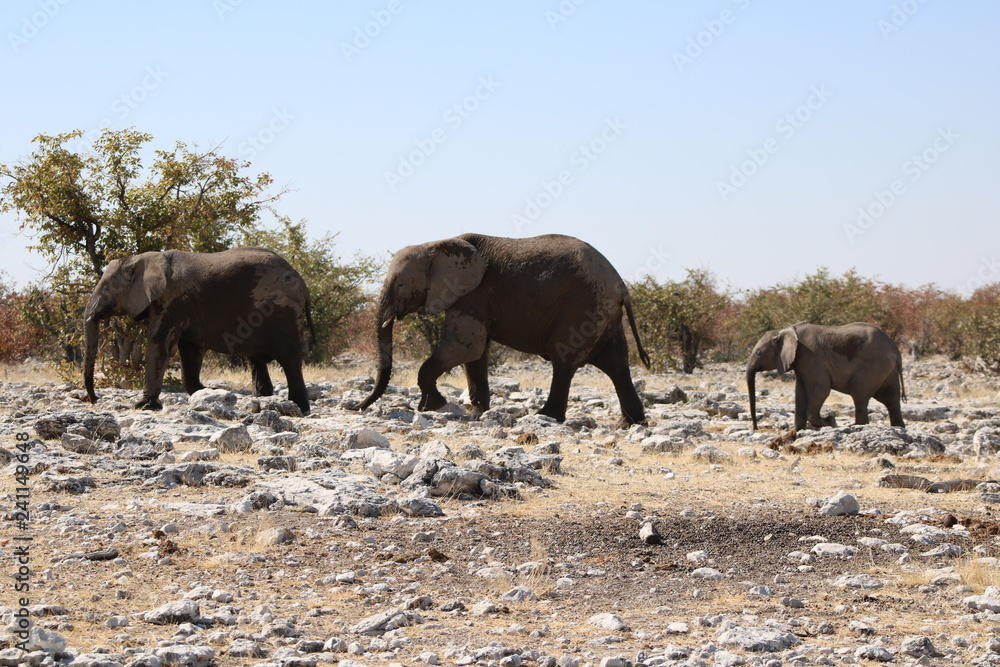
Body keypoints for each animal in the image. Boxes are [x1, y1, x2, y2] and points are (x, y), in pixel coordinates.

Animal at [84, 248, 314, 414]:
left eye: (106, 288)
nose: (95, 400)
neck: (142, 258)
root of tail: (303, 284)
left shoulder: (171, 300)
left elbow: (160, 342)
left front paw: (144, 406)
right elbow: (190, 351)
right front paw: (206, 393)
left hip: (283, 313)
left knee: (290, 361)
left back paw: (298, 408)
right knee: (256, 360)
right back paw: (261, 402)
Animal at [356, 232, 652, 426]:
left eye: (400, 284)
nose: (357, 408)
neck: (435, 243)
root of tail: (622, 286)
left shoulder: (473, 293)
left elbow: (466, 346)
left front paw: (432, 406)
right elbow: (475, 354)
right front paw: (478, 413)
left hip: (584, 307)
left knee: (565, 358)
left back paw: (545, 417)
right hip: (602, 312)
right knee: (616, 363)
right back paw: (631, 423)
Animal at [744, 324, 908, 434]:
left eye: (758, 353)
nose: (756, 428)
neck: (786, 330)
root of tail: (896, 351)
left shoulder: (811, 356)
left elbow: (821, 390)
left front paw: (831, 421)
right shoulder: (801, 362)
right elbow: (800, 393)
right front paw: (798, 432)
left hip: (874, 366)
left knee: (859, 395)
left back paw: (858, 427)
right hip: (887, 371)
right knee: (891, 400)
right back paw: (898, 428)